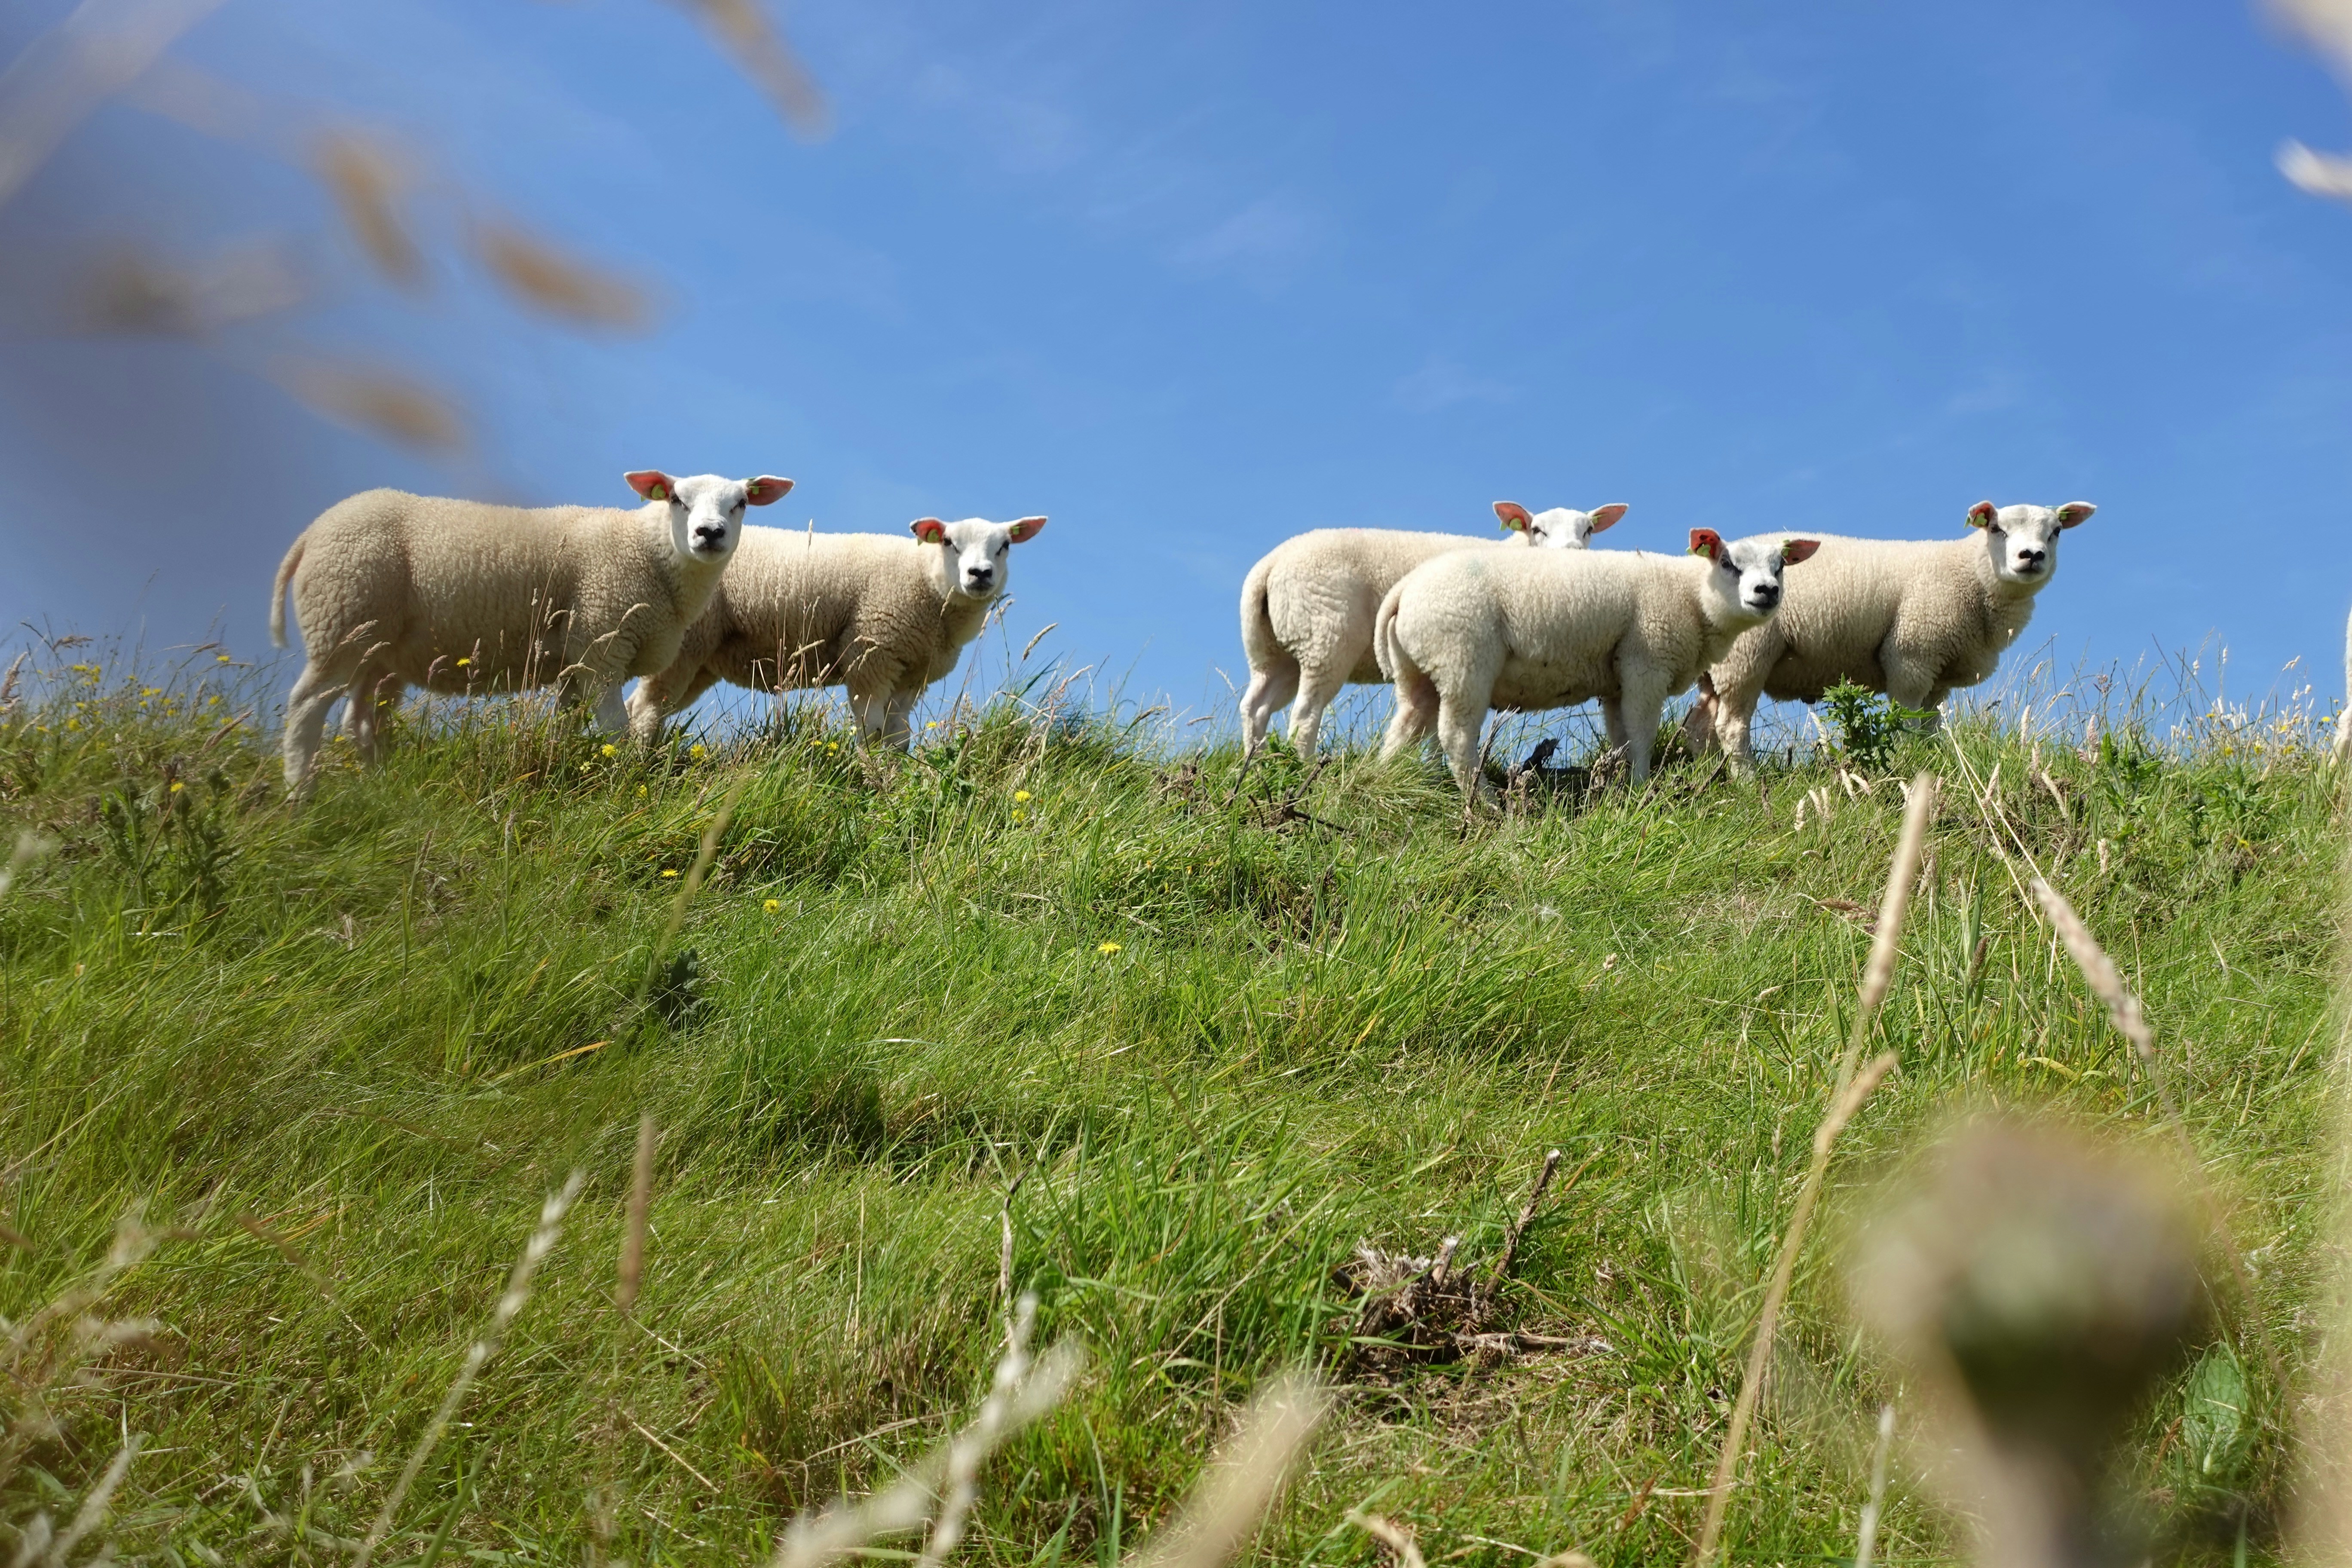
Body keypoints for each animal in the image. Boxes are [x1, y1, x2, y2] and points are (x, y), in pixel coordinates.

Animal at [270, 469, 791, 791]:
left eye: (741, 504)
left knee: (360, 720)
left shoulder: (576, 659)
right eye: (678, 500)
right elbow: (617, 730)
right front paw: (625, 781)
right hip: (342, 620)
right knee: (306, 709)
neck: (649, 552)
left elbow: (564, 725)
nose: (709, 533)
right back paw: (301, 797)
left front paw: (554, 769)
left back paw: (376, 784)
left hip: (379, 649)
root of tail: (313, 532)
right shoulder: (602, 646)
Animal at [625, 513, 1047, 749]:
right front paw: (872, 784)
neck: (926, 582)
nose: (980, 574)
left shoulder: (911, 674)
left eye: (1005, 546)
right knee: (648, 708)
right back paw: (636, 764)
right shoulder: (871, 654)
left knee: (642, 705)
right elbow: (871, 731)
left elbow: (899, 737)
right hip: (685, 641)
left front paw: (895, 783)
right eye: (948, 542)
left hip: (702, 657)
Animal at [1237, 500, 1627, 758]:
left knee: (1256, 706)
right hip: (1326, 635)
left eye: (1589, 529)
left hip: (1276, 650)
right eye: (1537, 529)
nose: (1572, 555)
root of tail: (1269, 565)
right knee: (1305, 713)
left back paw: (1256, 764)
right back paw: (1304, 768)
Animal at [1374, 528, 1820, 797]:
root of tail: (1405, 589)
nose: (1767, 591)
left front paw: (1621, 785)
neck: (1691, 594)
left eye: (1780, 566)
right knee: (1456, 737)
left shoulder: (1617, 680)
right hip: (1463, 658)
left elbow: (1621, 737)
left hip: (1420, 670)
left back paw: (1384, 780)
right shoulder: (1646, 662)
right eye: (1729, 564)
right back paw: (1485, 801)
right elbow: (1642, 734)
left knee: (1406, 727)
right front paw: (1642, 788)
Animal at [1682, 500, 2098, 772]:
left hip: (1717, 667)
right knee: (1732, 727)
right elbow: (1909, 723)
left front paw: (1930, 764)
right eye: (1997, 529)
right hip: (1747, 656)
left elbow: (1930, 728)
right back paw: (1748, 781)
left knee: (1700, 726)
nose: (2032, 556)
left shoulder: (1939, 675)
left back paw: (1704, 775)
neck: (1973, 577)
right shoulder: (1912, 655)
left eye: (2056, 532)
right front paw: (1910, 765)